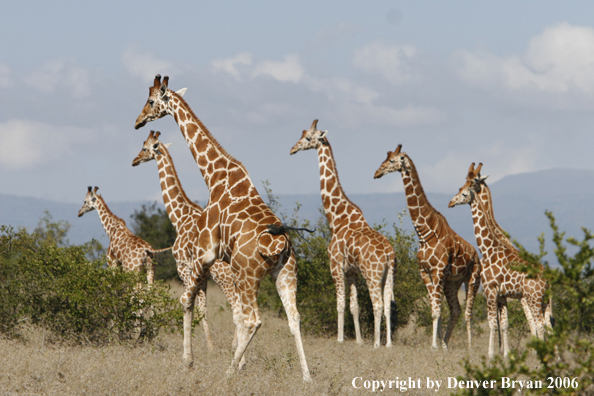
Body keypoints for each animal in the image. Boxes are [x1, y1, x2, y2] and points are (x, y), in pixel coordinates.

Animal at [132, 130, 238, 352]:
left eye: (144, 148)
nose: (134, 160)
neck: (179, 217)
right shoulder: (202, 276)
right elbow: (203, 309)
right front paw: (209, 346)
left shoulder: (183, 267)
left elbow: (191, 305)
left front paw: (201, 346)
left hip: (224, 278)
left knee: (236, 306)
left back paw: (235, 346)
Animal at [290, 119, 396, 348]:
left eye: (308, 138)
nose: (292, 149)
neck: (336, 217)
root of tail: (389, 254)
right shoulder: (352, 272)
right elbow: (354, 306)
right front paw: (359, 340)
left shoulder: (335, 267)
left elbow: (340, 304)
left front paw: (340, 339)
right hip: (389, 274)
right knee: (387, 304)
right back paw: (388, 344)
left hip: (373, 274)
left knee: (377, 304)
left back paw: (377, 344)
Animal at [374, 145, 480, 350]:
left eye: (392, 160)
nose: (377, 173)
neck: (425, 233)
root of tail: (477, 255)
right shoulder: (425, 272)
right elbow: (434, 309)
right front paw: (438, 344)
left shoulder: (437, 271)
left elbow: (437, 310)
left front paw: (434, 345)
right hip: (452, 282)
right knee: (456, 310)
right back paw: (446, 343)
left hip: (472, 279)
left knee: (468, 312)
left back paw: (470, 346)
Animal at [448, 162, 552, 358]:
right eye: (460, 186)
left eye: (467, 188)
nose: (450, 202)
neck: (488, 247)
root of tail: (548, 280)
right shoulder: (502, 295)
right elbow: (504, 324)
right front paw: (505, 354)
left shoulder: (490, 290)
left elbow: (492, 323)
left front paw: (491, 354)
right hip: (544, 300)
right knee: (548, 324)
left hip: (532, 298)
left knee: (539, 324)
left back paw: (541, 356)